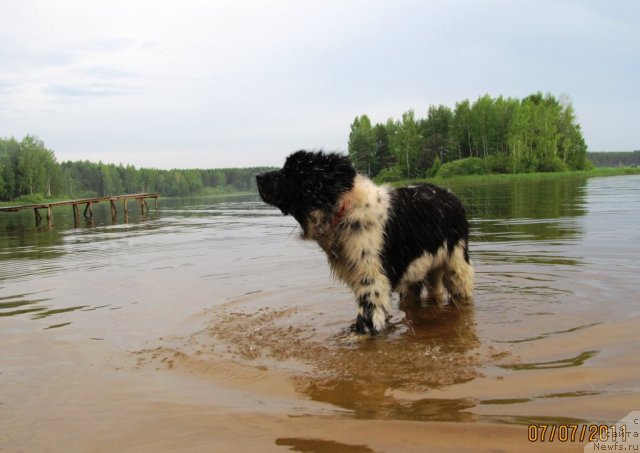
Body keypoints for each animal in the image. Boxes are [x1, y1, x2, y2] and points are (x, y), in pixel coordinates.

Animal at [256, 151, 476, 332]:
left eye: (289, 171)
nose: (258, 176)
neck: (343, 210)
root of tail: (451, 196)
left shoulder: (372, 278)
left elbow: (369, 316)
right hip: (418, 274)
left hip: (456, 265)